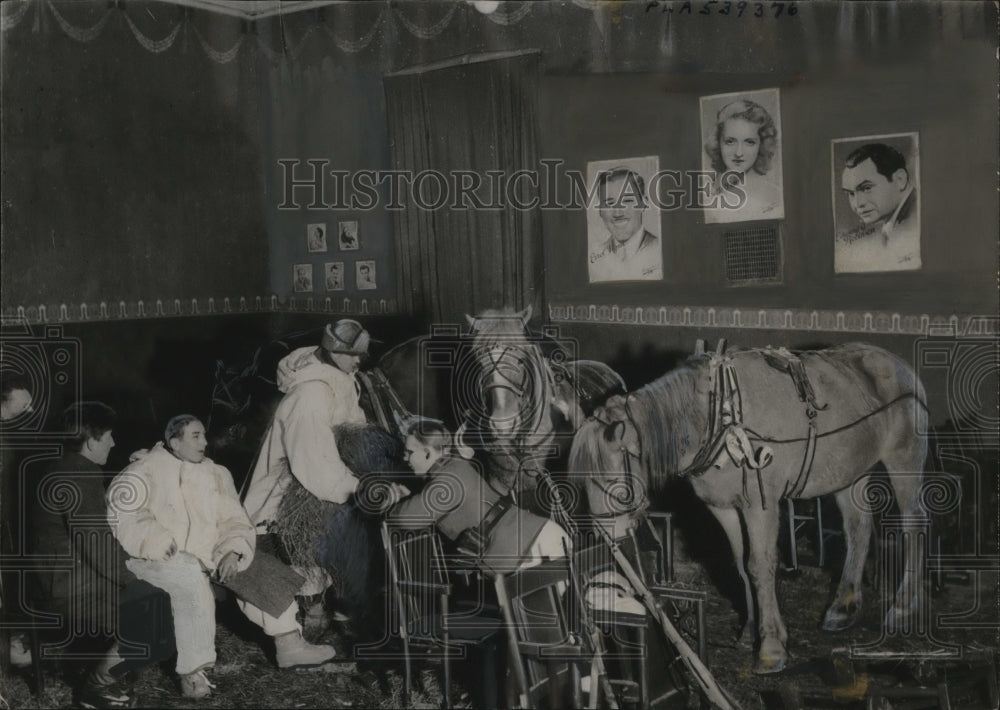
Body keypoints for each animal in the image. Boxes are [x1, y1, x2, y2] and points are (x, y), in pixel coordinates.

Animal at [572, 344, 928, 680]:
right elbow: (742, 566)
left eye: (613, 482)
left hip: (904, 462)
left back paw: (902, 609)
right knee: (858, 530)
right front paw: (750, 633)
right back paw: (842, 608)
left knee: (913, 528)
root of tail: (900, 366)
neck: (718, 419)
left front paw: (770, 649)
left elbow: (761, 566)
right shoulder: (724, 508)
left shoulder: (761, 505)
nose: (607, 538)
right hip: (851, 472)